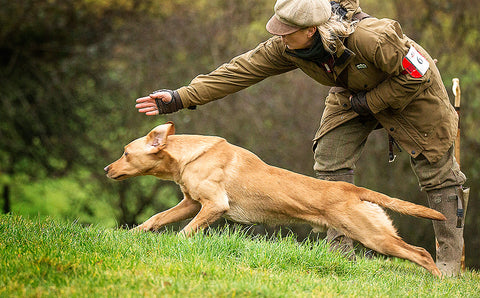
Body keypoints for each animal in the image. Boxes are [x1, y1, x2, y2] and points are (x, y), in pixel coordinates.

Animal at [106, 122, 446, 276]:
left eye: (125, 153)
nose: (108, 168)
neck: (189, 155)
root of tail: (351, 189)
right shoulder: (191, 203)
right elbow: (155, 219)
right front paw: (130, 235)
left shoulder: (214, 205)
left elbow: (185, 233)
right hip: (372, 232)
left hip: (373, 236)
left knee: (421, 253)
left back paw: (440, 281)